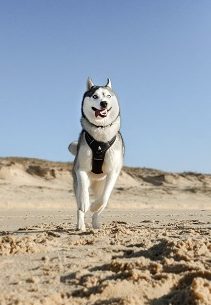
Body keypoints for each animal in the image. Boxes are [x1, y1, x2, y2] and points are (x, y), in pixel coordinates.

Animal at [69, 77, 123, 229]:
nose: (104, 103)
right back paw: (81, 225)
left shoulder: (113, 173)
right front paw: (86, 203)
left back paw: (96, 222)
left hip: (102, 184)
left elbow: (104, 199)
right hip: (78, 184)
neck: (100, 131)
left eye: (108, 96)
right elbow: (83, 193)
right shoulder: (81, 169)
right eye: (95, 96)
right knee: (79, 204)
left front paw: (94, 206)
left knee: (102, 202)